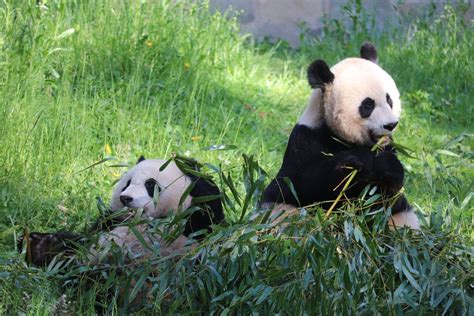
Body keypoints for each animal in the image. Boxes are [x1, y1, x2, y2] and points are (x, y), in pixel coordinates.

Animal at [262, 42, 418, 230]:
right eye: (368, 105)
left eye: (389, 100)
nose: (390, 125)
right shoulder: (305, 139)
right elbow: (305, 185)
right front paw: (354, 163)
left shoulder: (388, 146)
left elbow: (388, 199)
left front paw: (385, 165)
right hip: (281, 212)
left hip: (402, 220)